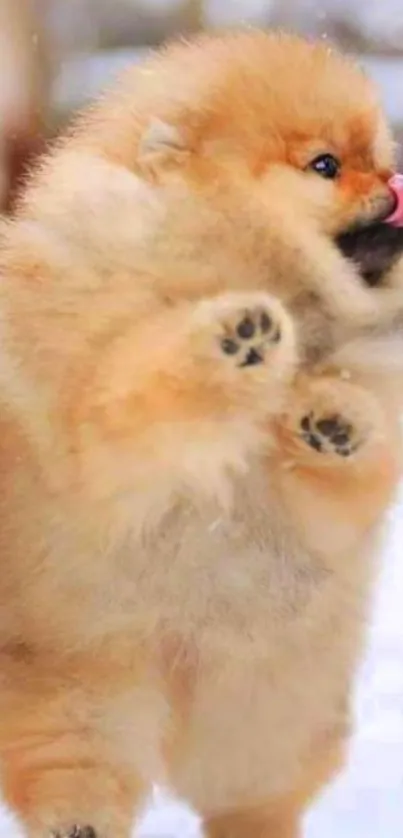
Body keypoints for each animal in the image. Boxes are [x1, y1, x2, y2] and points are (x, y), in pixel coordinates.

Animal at [0, 27, 403, 838]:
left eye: (378, 157)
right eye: (326, 165)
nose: (396, 183)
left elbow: (345, 479)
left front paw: (332, 417)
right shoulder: (95, 411)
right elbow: (131, 393)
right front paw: (233, 336)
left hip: (269, 700)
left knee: (252, 796)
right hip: (78, 687)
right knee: (75, 771)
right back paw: (75, 821)